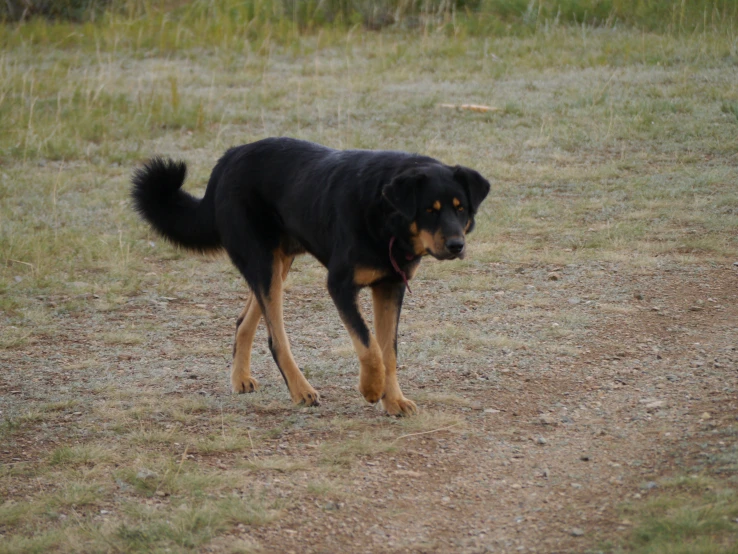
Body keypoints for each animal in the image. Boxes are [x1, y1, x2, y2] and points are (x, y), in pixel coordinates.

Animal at [132, 138, 488, 414]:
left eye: (460, 208)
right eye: (429, 210)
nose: (457, 246)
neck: (385, 215)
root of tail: (228, 157)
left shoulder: (391, 286)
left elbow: (389, 351)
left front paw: (393, 401)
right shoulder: (340, 285)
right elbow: (369, 346)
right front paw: (371, 389)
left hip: (276, 264)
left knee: (244, 321)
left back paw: (240, 378)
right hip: (263, 263)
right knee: (275, 338)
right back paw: (301, 389)